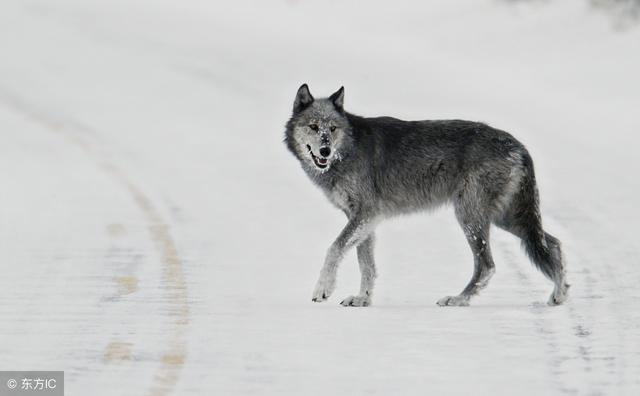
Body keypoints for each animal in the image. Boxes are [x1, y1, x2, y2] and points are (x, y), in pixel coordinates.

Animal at [284, 83, 568, 306]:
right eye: (313, 126)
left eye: (332, 129)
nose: (325, 151)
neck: (348, 149)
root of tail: (518, 145)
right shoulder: (363, 219)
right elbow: (366, 264)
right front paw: (362, 299)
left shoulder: (366, 213)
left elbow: (334, 248)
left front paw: (323, 289)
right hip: (505, 219)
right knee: (553, 243)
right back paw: (559, 295)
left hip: (471, 217)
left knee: (487, 266)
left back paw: (458, 299)